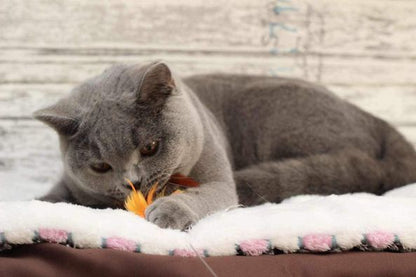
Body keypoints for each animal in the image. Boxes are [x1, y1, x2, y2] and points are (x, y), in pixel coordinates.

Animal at [34, 62, 416, 229]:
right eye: (100, 167)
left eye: (150, 148)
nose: (133, 182)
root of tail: (379, 123)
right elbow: (51, 196)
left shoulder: (217, 178)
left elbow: (204, 194)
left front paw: (169, 211)